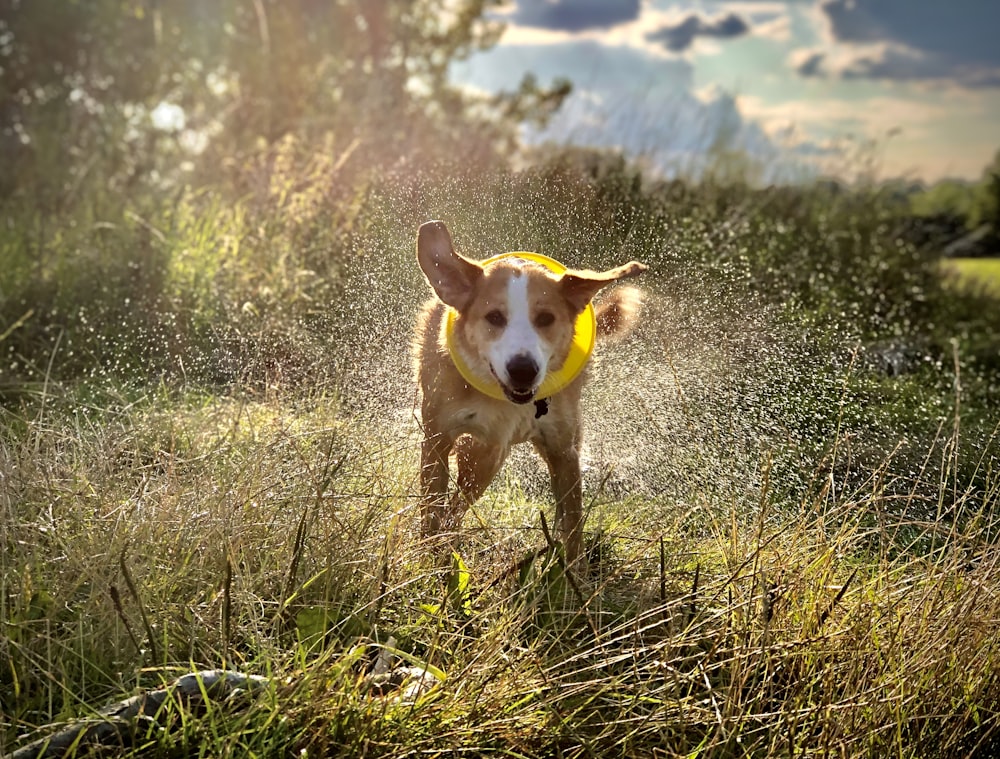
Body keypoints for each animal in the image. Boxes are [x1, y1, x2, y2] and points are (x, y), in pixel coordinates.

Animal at [414, 218, 648, 564]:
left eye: (546, 318)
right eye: (494, 317)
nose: (523, 369)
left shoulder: (563, 450)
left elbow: (573, 526)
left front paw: (571, 572)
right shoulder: (437, 439)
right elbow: (431, 509)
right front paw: (428, 558)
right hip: (484, 454)